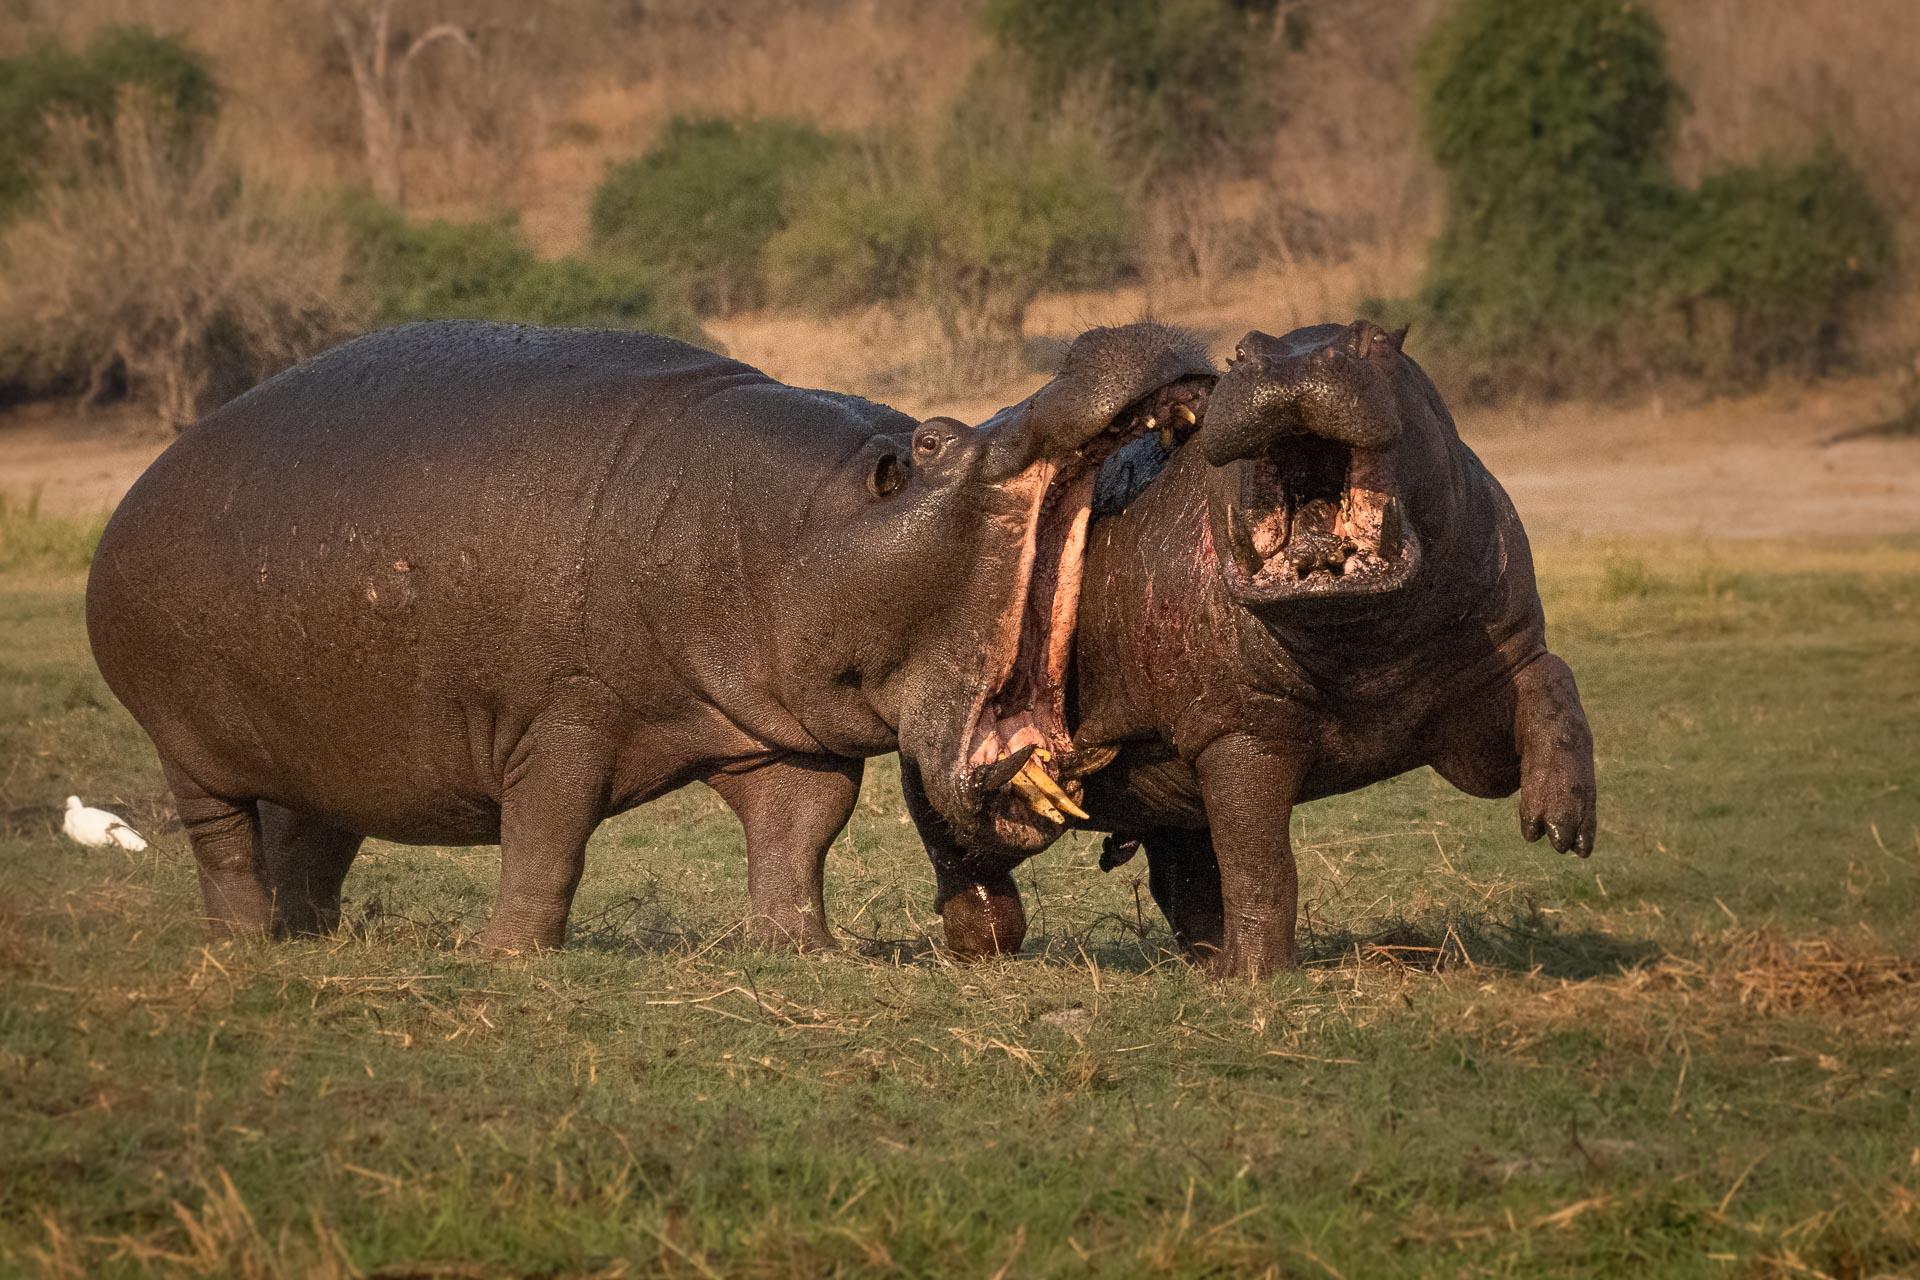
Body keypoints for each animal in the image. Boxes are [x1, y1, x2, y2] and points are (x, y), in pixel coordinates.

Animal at [90, 320, 1205, 951]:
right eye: (932, 439)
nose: (1111, 334)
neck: (786, 525)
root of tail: (134, 495)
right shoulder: (561, 720)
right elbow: (548, 842)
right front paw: (510, 959)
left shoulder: (778, 734)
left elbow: (800, 838)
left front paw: (802, 953)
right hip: (189, 749)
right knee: (223, 845)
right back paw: (243, 949)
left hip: (320, 753)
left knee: (309, 835)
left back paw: (308, 938)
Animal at [906, 322, 1597, 982]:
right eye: (1241, 352)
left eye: (1378, 338)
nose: (1292, 360)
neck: (1358, 643)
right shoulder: (1238, 734)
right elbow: (1259, 864)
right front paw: (1259, 979)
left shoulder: (1481, 701)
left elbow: (1551, 680)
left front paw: (1561, 828)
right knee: (960, 844)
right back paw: (987, 941)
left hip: (1167, 797)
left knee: (1182, 871)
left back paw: (1207, 962)